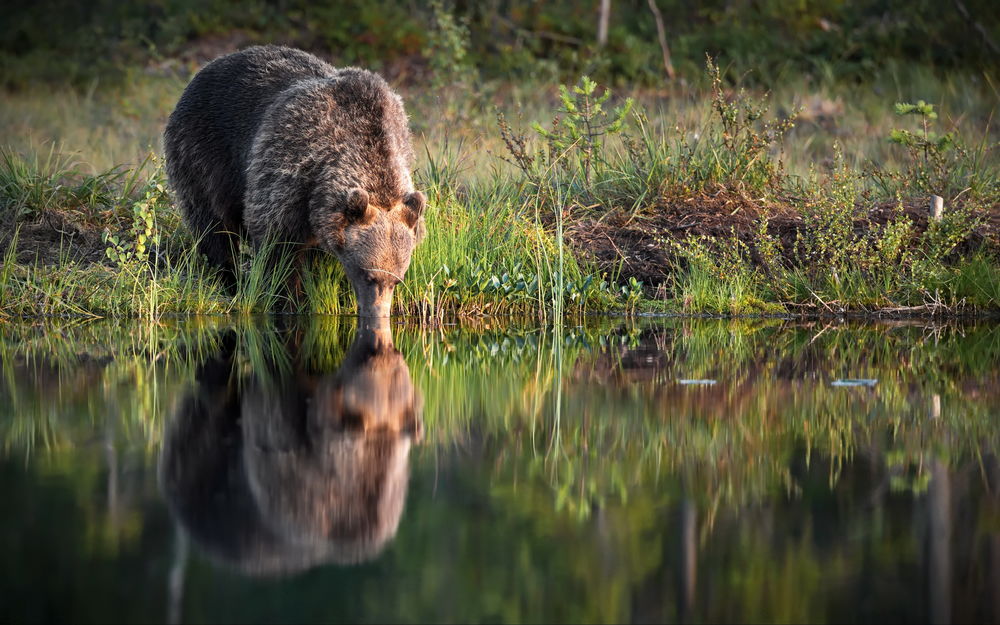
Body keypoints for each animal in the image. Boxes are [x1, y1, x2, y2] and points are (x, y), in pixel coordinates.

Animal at [163, 45, 426, 317]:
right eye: (367, 275)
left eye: (397, 279)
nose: (377, 313)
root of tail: (209, 65)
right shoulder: (290, 166)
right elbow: (278, 244)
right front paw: (288, 298)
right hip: (202, 153)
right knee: (213, 225)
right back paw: (229, 278)